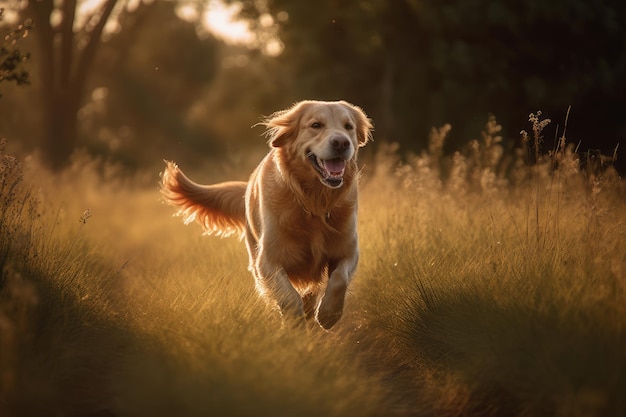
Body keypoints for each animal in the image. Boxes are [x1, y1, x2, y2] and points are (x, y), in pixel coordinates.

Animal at [160, 100, 370, 328]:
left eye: (348, 127)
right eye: (316, 125)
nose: (341, 143)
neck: (313, 203)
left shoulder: (348, 251)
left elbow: (339, 279)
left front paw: (329, 314)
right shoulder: (267, 260)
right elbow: (289, 296)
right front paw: (294, 323)